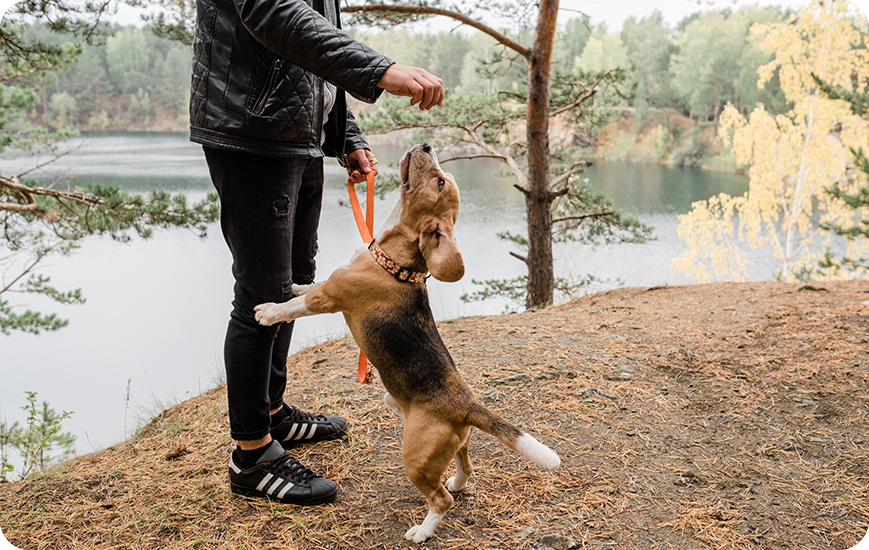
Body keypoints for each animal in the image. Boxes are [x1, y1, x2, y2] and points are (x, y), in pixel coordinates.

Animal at [254, 144, 560, 544]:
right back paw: (457, 482)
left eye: (440, 181)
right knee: (465, 467)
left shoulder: (329, 299)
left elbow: (298, 305)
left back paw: (423, 530)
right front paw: (294, 284)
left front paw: (269, 311)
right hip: (445, 438)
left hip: (415, 457)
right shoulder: (329, 285)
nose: (427, 145)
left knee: (441, 500)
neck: (394, 261)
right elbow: (309, 287)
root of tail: (466, 404)